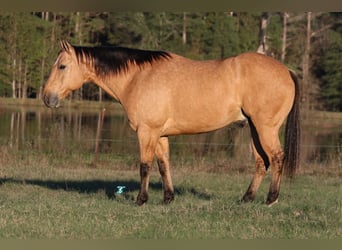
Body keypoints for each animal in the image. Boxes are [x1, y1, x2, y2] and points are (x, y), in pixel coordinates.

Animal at [43, 40, 300, 205]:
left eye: (62, 66)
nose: (47, 98)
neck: (137, 77)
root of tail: (287, 70)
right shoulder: (160, 134)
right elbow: (163, 165)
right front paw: (168, 198)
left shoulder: (146, 131)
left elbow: (145, 166)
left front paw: (141, 200)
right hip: (254, 129)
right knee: (261, 163)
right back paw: (246, 199)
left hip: (266, 128)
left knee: (276, 158)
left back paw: (271, 199)